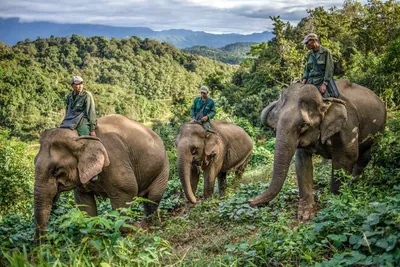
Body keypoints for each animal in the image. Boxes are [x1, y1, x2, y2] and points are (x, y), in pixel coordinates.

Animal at [34, 115, 170, 241]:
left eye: (55, 170)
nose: (44, 243)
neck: (79, 136)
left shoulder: (116, 162)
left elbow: (127, 192)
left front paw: (132, 229)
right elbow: (84, 202)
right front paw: (92, 236)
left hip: (163, 167)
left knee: (153, 197)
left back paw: (145, 226)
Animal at [248, 79, 386, 222]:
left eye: (303, 125)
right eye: (276, 121)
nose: (250, 201)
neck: (324, 99)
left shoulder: (348, 126)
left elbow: (347, 158)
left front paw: (333, 202)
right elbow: (302, 161)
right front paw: (305, 214)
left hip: (379, 129)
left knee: (365, 155)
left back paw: (352, 184)